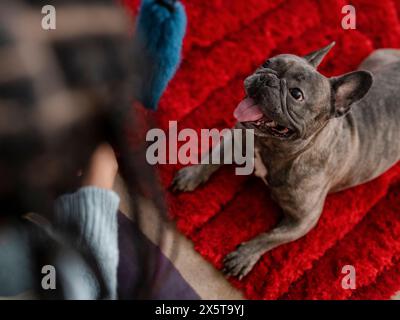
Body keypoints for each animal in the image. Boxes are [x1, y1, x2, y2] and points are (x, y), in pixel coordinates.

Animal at [171, 43, 400, 280]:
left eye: (296, 94)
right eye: (267, 63)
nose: (267, 77)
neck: (271, 147)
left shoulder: (303, 220)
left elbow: (271, 237)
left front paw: (244, 256)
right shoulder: (238, 136)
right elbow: (214, 156)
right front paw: (192, 174)